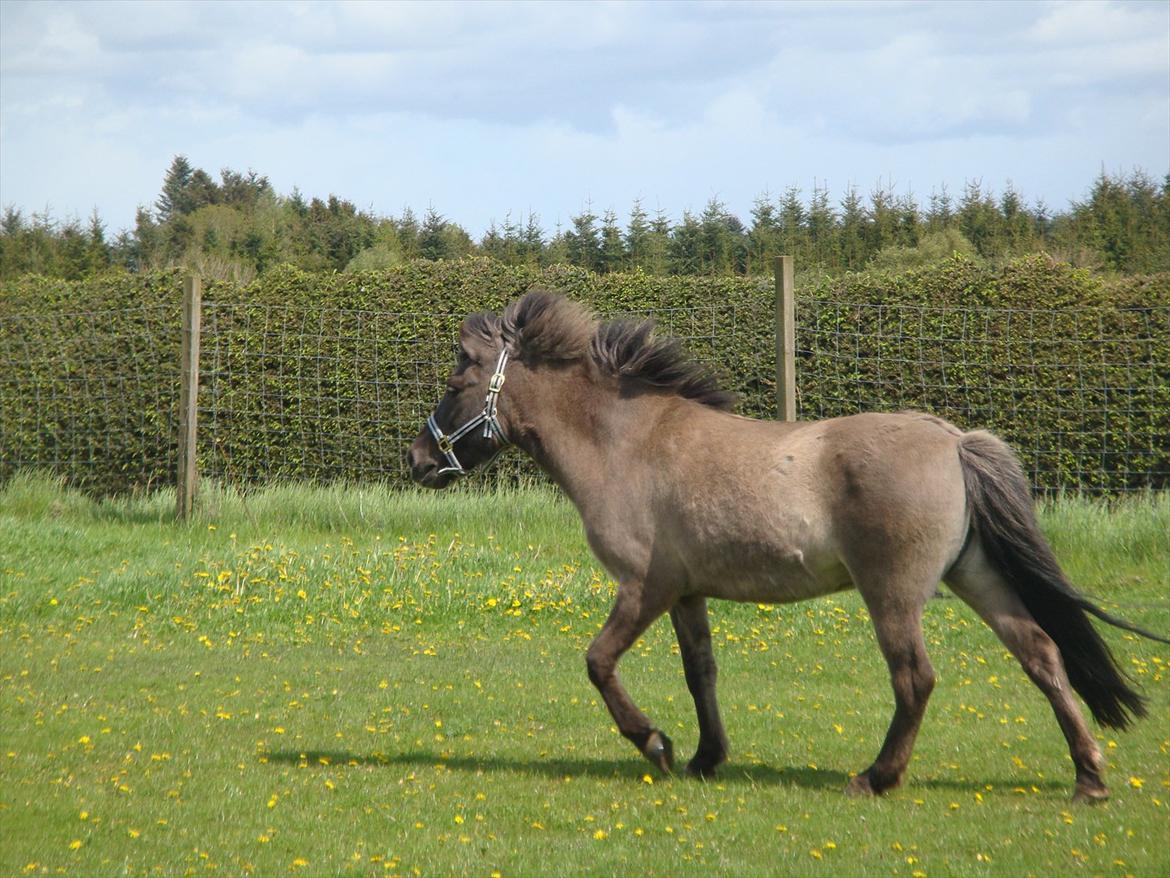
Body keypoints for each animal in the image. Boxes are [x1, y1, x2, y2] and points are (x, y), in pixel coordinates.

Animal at [407, 290, 1165, 805]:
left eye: (456, 381)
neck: (627, 444)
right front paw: (706, 757)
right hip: (974, 576)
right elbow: (701, 672)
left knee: (915, 678)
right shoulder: (685, 592)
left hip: (894, 594)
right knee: (1040, 652)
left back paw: (877, 777)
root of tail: (953, 441)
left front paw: (655, 743)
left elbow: (598, 662)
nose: (419, 459)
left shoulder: (644, 586)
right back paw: (1089, 778)